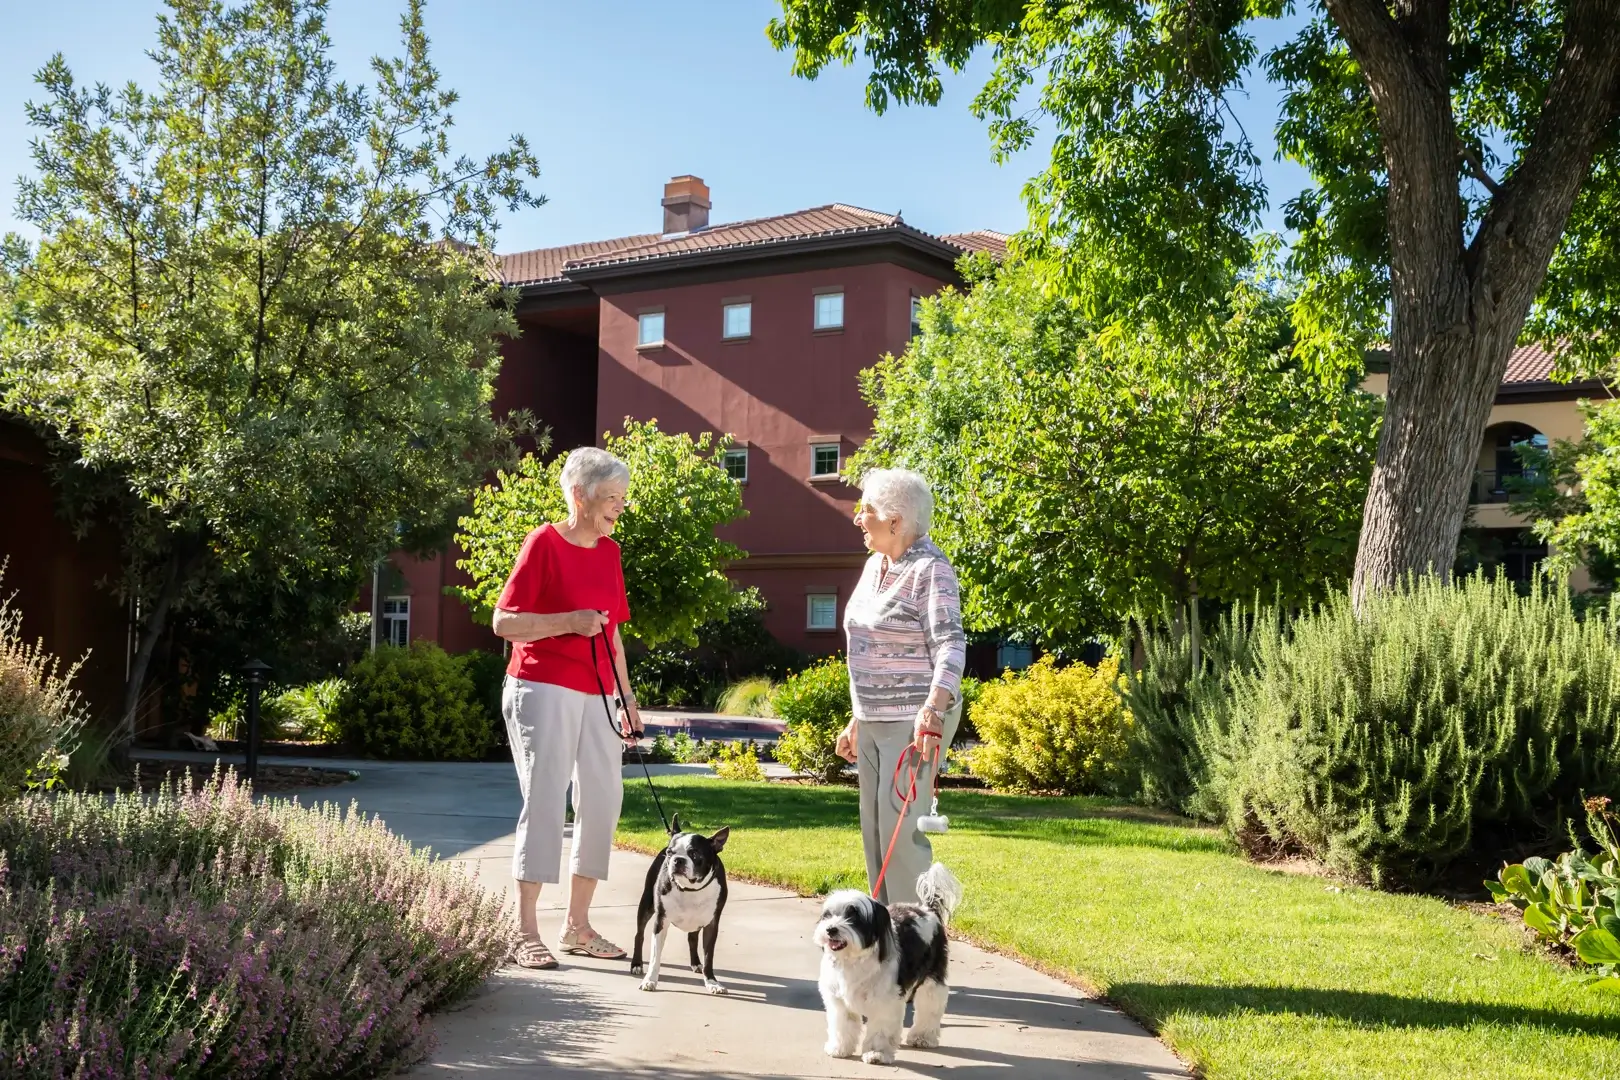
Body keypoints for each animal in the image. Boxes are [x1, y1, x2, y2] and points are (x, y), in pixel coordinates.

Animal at [628, 809, 732, 997]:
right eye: (670, 853)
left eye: (695, 854)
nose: (678, 860)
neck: (690, 889)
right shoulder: (660, 921)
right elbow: (655, 956)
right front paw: (650, 980)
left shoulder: (712, 924)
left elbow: (709, 957)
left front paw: (712, 982)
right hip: (646, 905)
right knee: (639, 935)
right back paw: (637, 964)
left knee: (692, 938)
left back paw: (696, 963)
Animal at [810, 861, 959, 1062]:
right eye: (828, 915)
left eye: (854, 917)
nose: (831, 929)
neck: (854, 959)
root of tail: (928, 910)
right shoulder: (839, 1001)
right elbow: (843, 1025)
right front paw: (839, 1048)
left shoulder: (885, 1001)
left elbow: (880, 1029)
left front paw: (877, 1053)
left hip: (931, 979)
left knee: (930, 1006)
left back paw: (923, 1036)